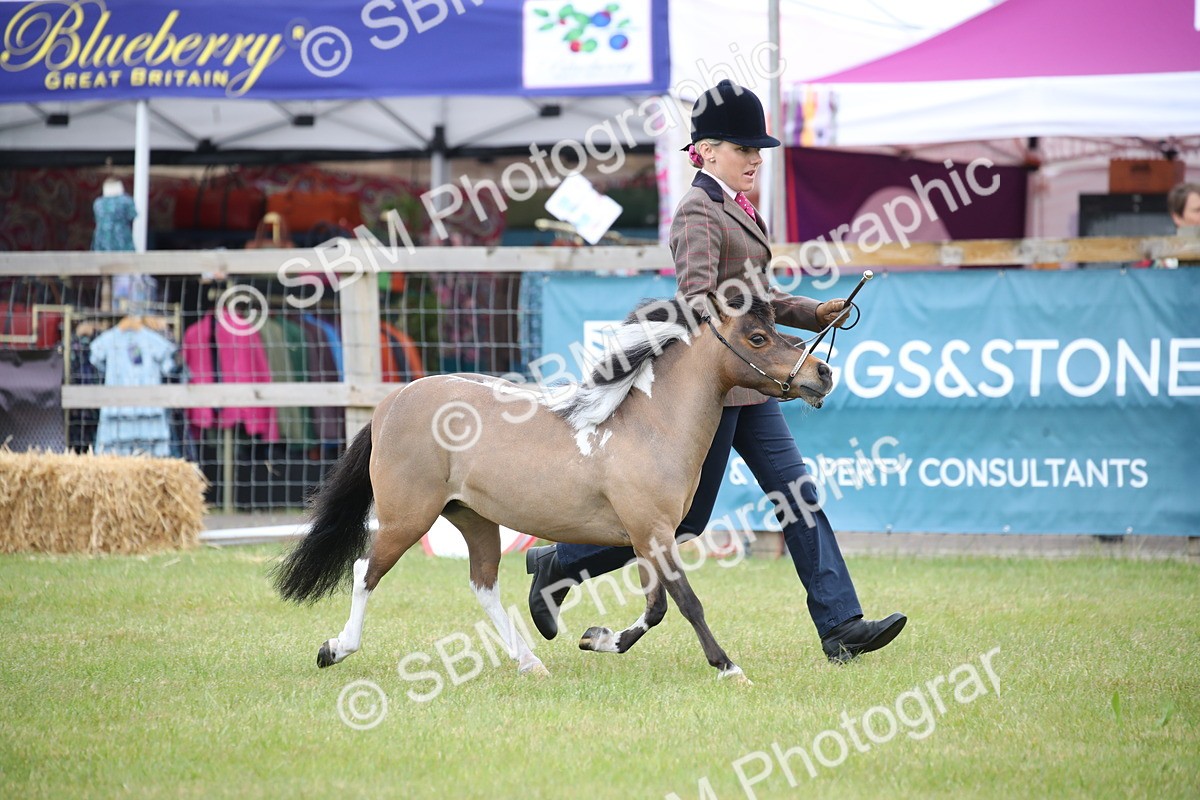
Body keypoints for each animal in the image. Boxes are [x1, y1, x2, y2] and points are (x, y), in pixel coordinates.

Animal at [272, 290, 834, 683]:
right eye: (757, 338)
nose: (823, 374)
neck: (648, 425)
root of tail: (393, 402)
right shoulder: (651, 532)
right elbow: (685, 602)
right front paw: (729, 668)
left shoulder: (648, 536)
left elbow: (655, 608)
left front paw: (597, 639)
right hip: (408, 517)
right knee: (365, 571)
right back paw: (335, 649)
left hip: (473, 518)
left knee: (483, 585)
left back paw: (531, 661)